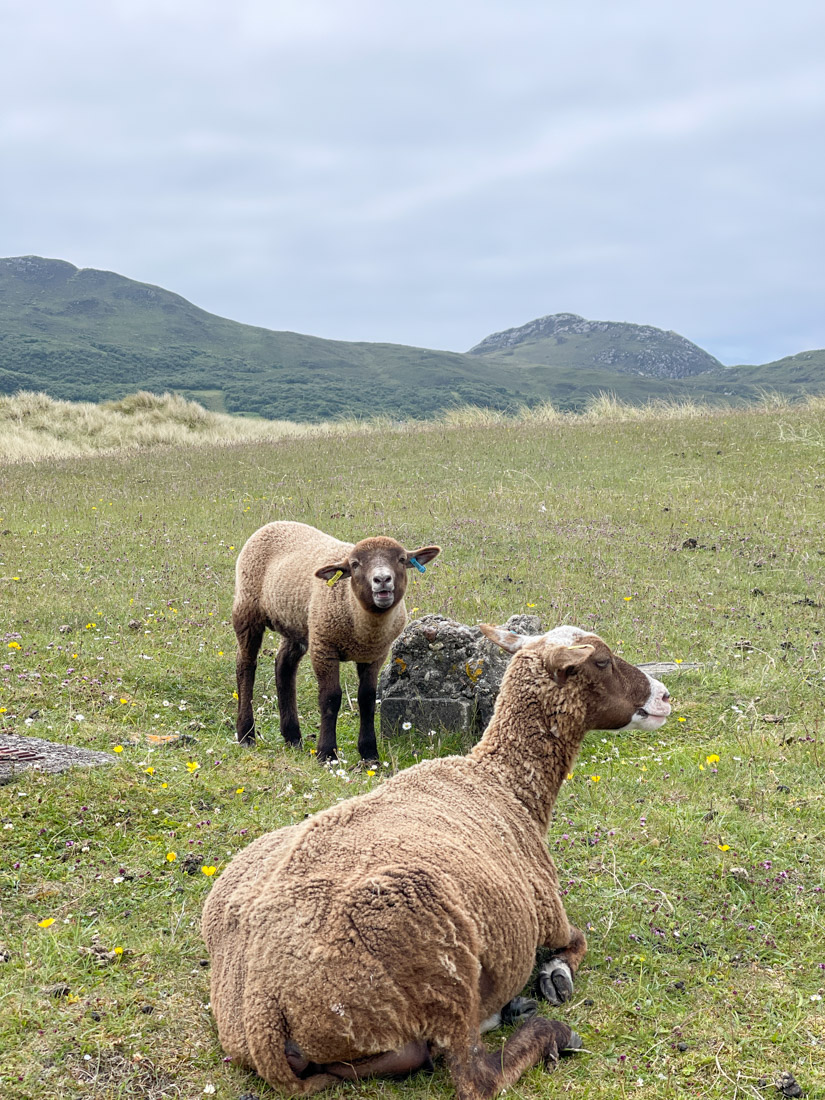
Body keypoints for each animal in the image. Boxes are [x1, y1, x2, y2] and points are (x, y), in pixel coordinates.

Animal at [205, 624, 673, 1095]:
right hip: (438, 961)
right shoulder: (547, 910)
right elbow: (577, 941)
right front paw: (556, 975)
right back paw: (546, 1031)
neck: (504, 784)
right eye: (601, 661)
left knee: (403, 1057)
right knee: (474, 1075)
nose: (665, 696)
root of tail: (262, 1012)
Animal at [229, 519, 442, 761]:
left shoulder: (375, 655)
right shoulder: (324, 648)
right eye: (355, 564)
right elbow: (330, 698)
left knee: (284, 666)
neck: (363, 627)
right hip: (248, 610)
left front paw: (369, 754)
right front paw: (327, 753)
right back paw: (246, 735)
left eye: (402, 559)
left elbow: (367, 699)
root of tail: (274, 523)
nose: (382, 580)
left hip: (298, 623)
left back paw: (292, 737)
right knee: (246, 666)